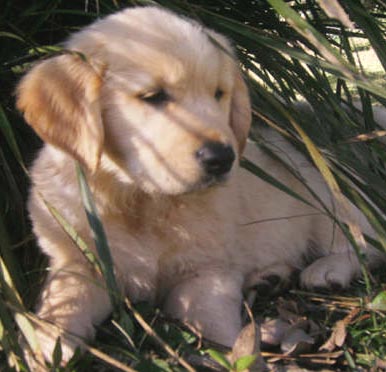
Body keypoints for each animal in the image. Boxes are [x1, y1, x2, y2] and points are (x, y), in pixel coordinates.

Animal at [17, 5, 380, 364]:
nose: (222, 158)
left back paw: (328, 270)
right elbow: (65, 297)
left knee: (367, 242)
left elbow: (213, 321)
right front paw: (47, 339)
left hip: (322, 182)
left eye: (219, 94)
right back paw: (270, 278)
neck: (142, 200)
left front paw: (238, 353)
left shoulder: (207, 272)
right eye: (152, 96)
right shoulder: (78, 260)